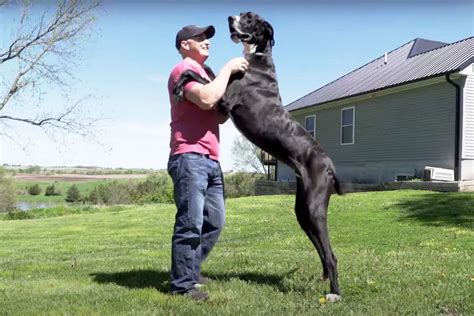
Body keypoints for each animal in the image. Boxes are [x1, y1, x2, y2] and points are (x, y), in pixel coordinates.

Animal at [173, 11, 340, 300]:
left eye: (250, 18)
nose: (231, 17)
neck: (257, 55)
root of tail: (329, 164)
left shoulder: (225, 100)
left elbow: (198, 75)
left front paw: (182, 85)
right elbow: (209, 73)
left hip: (314, 207)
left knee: (331, 254)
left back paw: (335, 293)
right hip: (302, 210)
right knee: (322, 248)